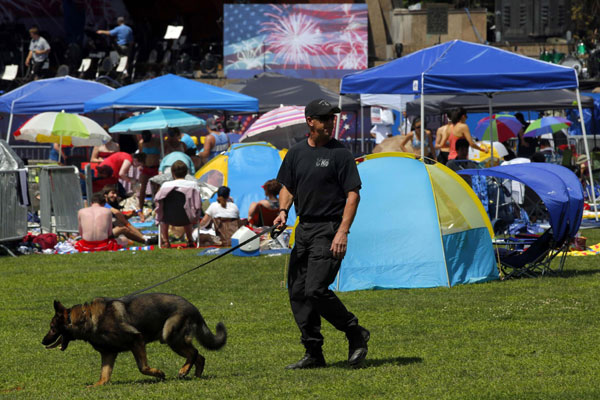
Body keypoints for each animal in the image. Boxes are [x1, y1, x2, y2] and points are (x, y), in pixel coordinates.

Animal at [41, 292, 226, 386]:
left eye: (52, 328)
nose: (42, 342)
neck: (87, 318)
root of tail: (193, 308)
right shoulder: (108, 353)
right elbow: (104, 376)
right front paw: (95, 387)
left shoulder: (137, 340)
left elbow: (143, 367)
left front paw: (159, 374)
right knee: (200, 356)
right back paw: (196, 375)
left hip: (169, 336)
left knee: (194, 352)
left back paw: (184, 370)